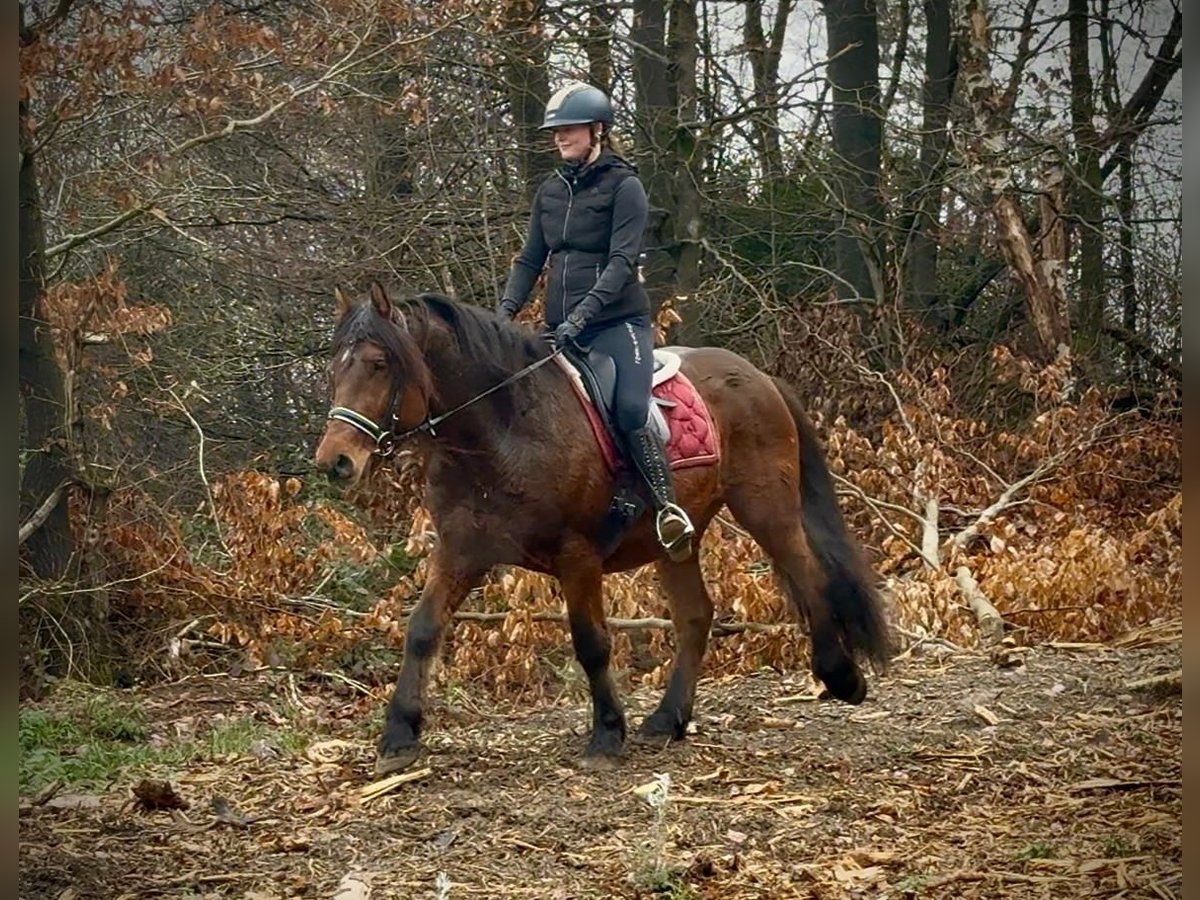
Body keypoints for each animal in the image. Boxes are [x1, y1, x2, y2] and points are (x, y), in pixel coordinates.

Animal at [314, 281, 892, 776]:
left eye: (379, 364)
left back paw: (842, 677)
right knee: (695, 616)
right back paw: (667, 719)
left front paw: (606, 734)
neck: (504, 428)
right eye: (335, 368)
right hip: (675, 540)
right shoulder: (460, 552)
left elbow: (591, 642)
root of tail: (758, 377)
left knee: (809, 576)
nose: (334, 461)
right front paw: (398, 737)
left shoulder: (577, 556)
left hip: (766, 507)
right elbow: (422, 629)